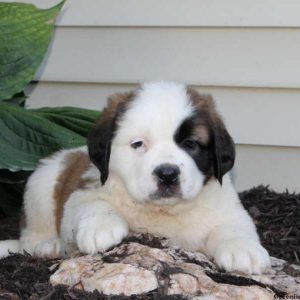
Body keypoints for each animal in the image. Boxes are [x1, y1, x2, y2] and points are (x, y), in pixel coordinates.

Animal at [0, 81, 270, 274]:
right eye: (138, 144)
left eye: (191, 144)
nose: (167, 174)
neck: (163, 212)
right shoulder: (84, 192)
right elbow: (93, 205)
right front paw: (101, 227)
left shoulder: (225, 206)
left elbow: (235, 225)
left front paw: (243, 249)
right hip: (41, 185)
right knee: (30, 235)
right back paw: (49, 245)